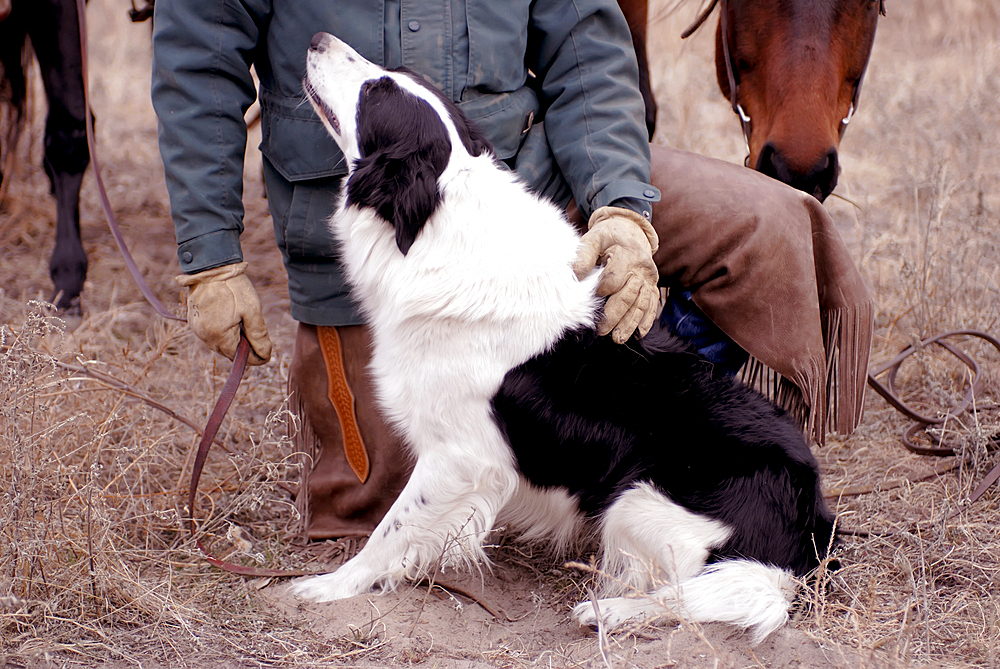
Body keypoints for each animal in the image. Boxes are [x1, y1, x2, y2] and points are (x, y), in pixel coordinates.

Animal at [292, 34, 840, 644]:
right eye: (391, 73)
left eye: (374, 91)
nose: (316, 39)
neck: (443, 222)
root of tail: (809, 530)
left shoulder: (459, 456)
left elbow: (391, 528)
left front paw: (333, 585)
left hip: (636, 497)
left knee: (700, 595)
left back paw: (611, 612)